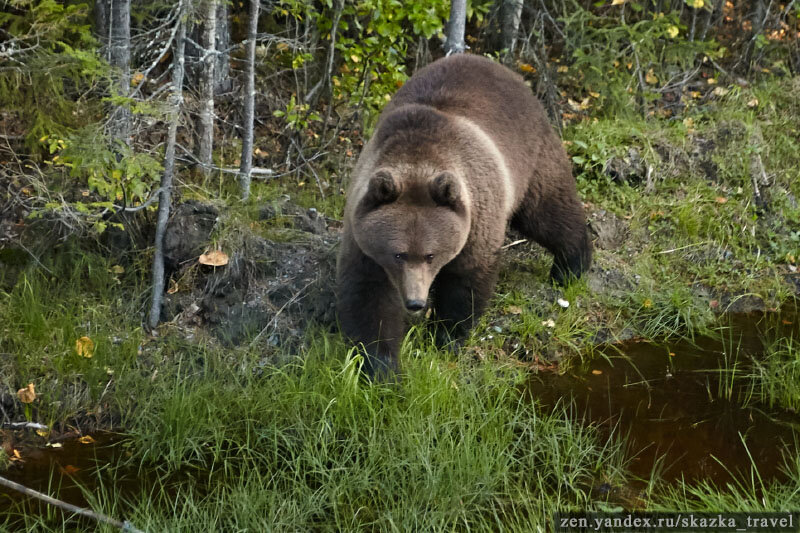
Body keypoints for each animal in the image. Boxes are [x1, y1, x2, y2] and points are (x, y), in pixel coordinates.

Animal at [334, 54, 592, 376]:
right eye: (398, 254)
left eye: (430, 255)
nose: (415, 302)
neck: (417, 159)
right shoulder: (364, 235)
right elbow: (368, 294)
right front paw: (381, 364)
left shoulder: (476, 213)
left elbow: (466, 279)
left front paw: (446, 336)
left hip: (532, 155)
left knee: (548, 211)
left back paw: (571, 266)